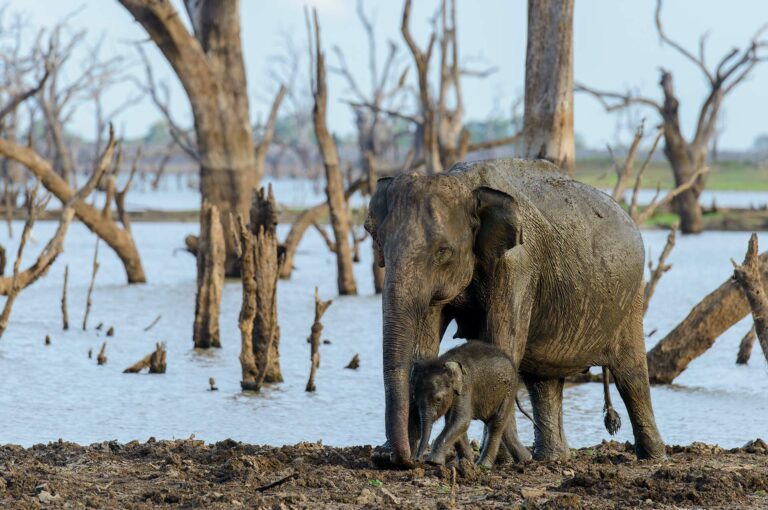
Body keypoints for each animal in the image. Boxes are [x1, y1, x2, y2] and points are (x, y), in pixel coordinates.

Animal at [408, 340, 520, 468]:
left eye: (438, 400)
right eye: (415, 399)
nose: (417, 460)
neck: (443, 362)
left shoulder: (466, 387)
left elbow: (461, 420)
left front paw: (433, 462)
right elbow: (455, 423)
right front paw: (466, 462)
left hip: (509, 389)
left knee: (496, 422)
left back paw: (483, 465)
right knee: (505, 426)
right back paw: (526, 460)